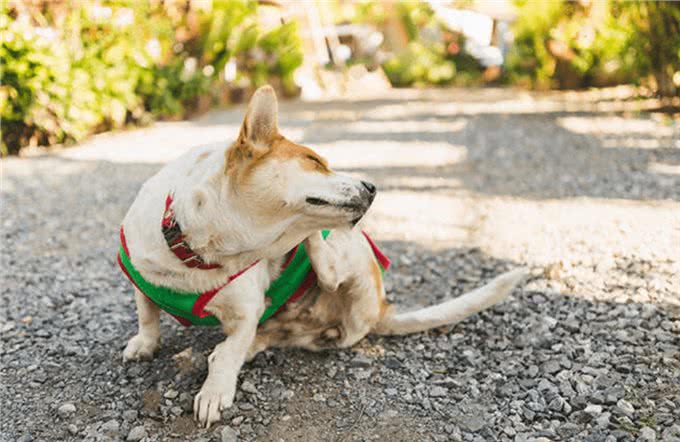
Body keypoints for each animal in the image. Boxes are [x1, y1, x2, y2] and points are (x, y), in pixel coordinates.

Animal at [119, 85, 528, 428]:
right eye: (314, 160)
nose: (372, 187)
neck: (199, 248)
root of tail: (381, 308)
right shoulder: (142, 278)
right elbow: (147, 313)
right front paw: (145, 343)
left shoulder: (246, 313)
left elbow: (232, 350)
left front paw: (215, 390)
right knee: (267, 334)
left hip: (354, 256)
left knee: (328, 273)